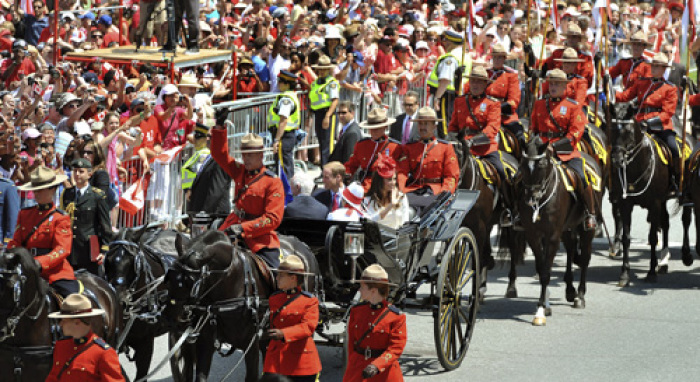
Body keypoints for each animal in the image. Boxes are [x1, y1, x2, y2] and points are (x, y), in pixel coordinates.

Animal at [163, 230, 318, 382]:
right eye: (168, 277)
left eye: (191, 282)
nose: (172, 319)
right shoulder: (205, 343)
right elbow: (200, 376)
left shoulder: (251, 345)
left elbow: (251, 376)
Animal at [516, 137, 600, 326]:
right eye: (523, 164)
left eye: (541, 165)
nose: (531, 198)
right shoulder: (533, 235)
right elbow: (541, 268)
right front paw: (545, 305)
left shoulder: (552, 235)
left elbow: (546, 272)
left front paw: (540, 311)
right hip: (566, 229)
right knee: (570, 249)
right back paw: (570, 289)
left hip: (586, 229)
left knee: (584, 258)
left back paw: (580, 296)